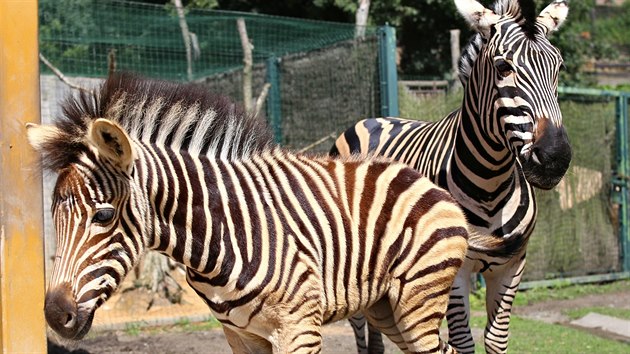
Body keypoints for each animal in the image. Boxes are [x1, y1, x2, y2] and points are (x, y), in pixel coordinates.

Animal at [30, 73, 474, 352]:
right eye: (53, 218)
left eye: (103, 216)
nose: (54, 315)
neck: (221, 233)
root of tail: (420, 177)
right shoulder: (241, 335)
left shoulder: (299, 328)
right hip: (386, 310)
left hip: (417, 300)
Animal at [334, 0, 576, 354]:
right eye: (503, 67)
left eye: (558, 66)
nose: (554, 159)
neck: (491, 184)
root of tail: (372, 118)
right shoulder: (453, 268)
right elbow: (462, 340)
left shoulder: (513, 265)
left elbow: (496, 338)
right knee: (361, 326)